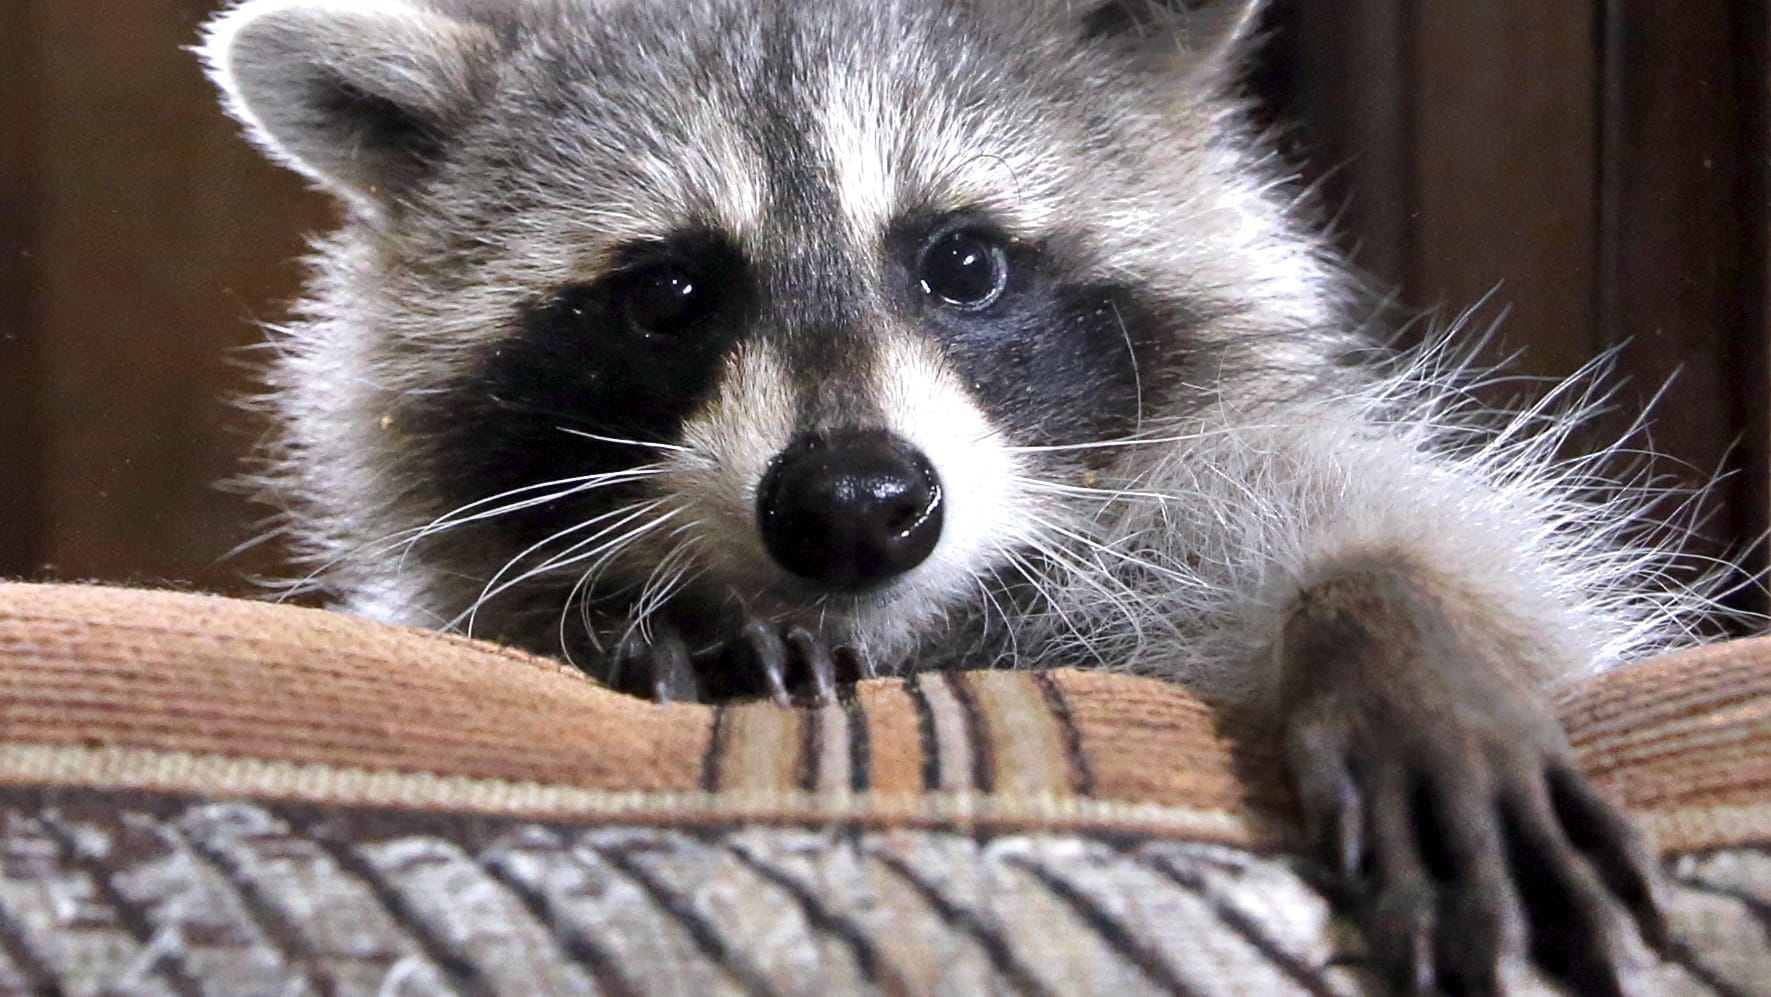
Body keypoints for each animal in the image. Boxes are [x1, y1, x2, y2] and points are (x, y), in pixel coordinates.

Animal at [201, 0, 1721, 991]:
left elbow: (1459, 566)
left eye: (963, 263)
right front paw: (649, 607)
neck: (915, 633)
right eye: (670, 292)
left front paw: (1393, 622)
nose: (854, 502)